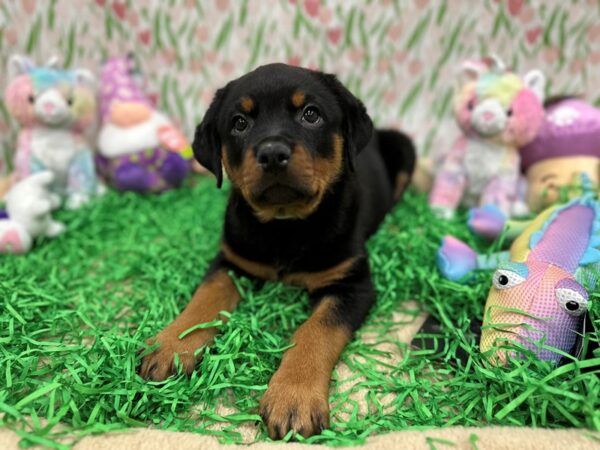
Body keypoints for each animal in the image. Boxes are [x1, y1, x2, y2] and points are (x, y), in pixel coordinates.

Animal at [138, 63, 414, 440]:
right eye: (240, 122)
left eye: (310, 114)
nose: (271, 153)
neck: (286, 226)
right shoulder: (232, 261)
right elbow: (204, 301)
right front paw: (171, 345)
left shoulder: (352, 284)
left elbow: (316, 331)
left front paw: (294, 398)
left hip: (404, 148)